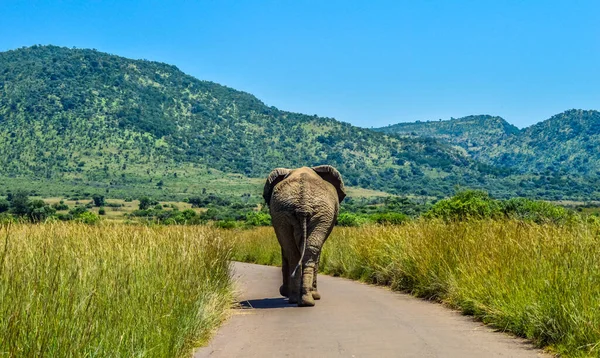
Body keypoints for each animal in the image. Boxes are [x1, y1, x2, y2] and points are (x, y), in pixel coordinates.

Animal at [264, 166, 346, 306]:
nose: (282, 291)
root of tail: (303, 203)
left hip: (292, 213)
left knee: (295, 250)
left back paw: (301, 299)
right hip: (304, 212)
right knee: (303, 251)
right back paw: (303, 299)